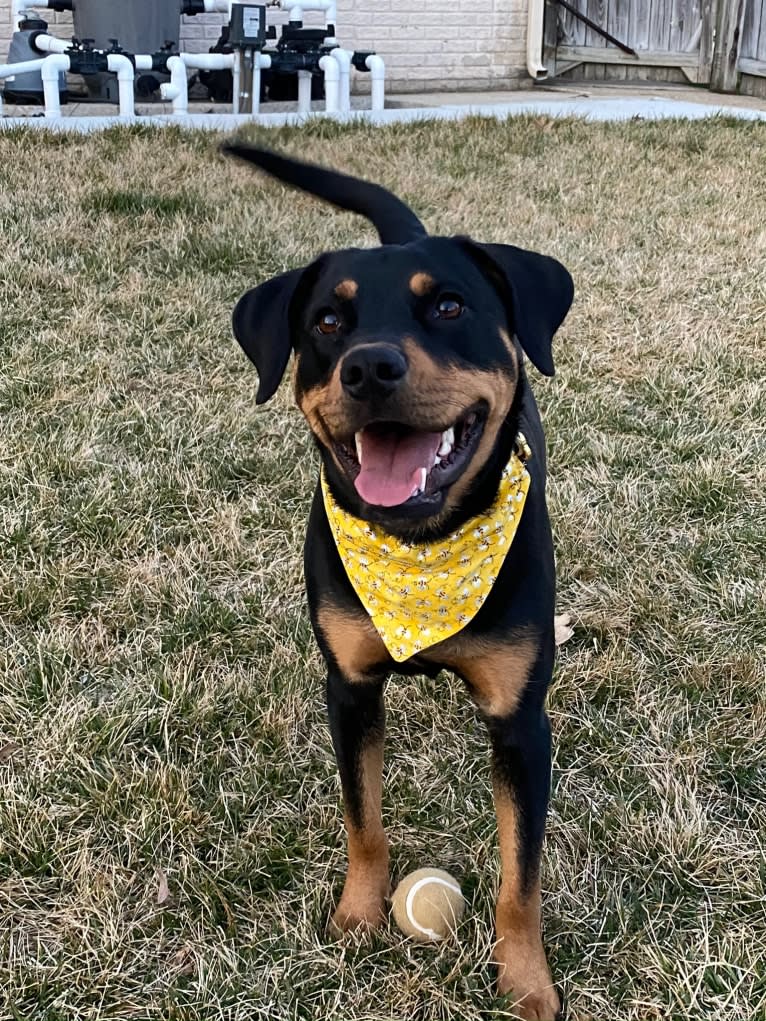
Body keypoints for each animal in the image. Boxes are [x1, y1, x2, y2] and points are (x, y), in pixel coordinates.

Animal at [221, 146, 576, 1021]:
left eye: (449, 305)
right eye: (326, 322)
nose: (370, 366)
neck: (422, 551)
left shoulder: (521, 722)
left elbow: (521, 874)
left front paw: (526, 979)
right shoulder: (348, 688)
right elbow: (363, 817)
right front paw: (357, 914)